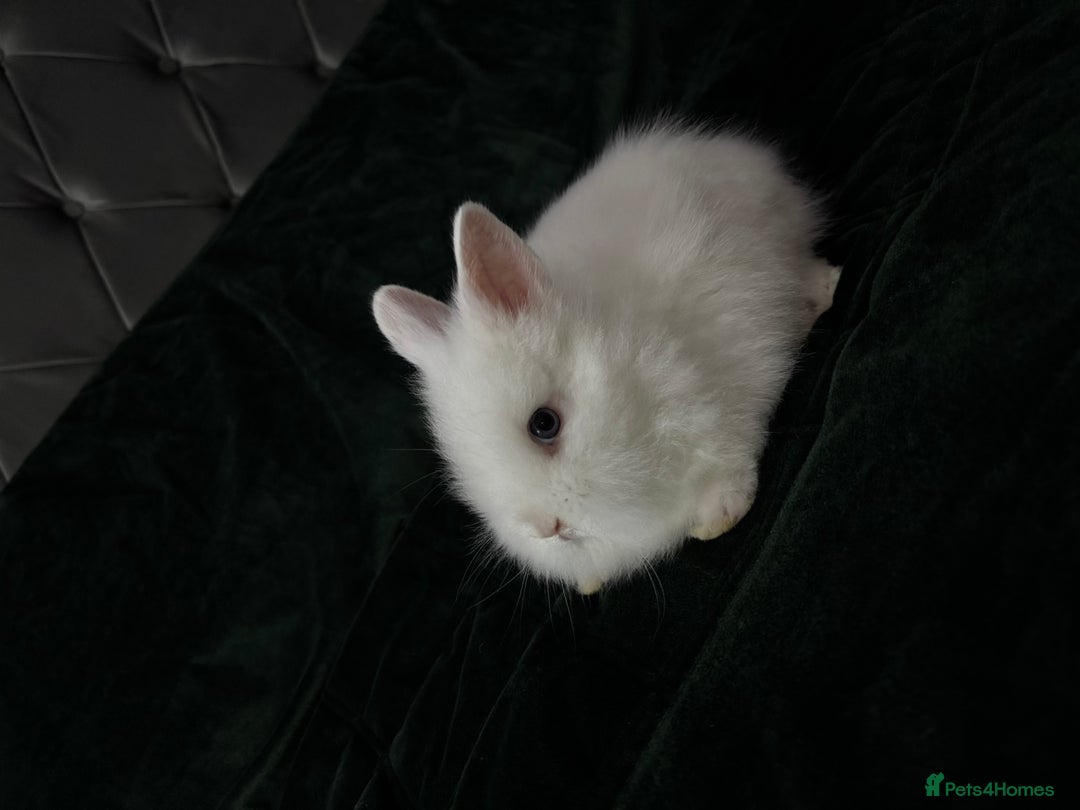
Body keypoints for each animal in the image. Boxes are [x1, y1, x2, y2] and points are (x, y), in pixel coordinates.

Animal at [372, 121, 840, 595]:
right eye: (471, 470)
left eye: (545, 424)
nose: (547, 528)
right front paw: (589, 582)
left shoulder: (729, 387)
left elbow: (728, 458)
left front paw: (718, 516)